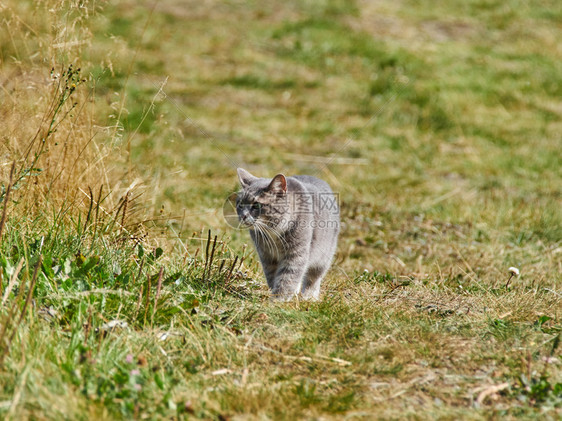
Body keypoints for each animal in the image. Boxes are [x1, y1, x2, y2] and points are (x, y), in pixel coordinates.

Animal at [235, 166, 340, 300]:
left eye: (257, 205)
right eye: (240, 204)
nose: (243, 216)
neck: (273, 231)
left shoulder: (296, 254)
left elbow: (288, 277)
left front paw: (278, 299)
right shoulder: (267, 256)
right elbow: (273, 276)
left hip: (324, 256)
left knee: (313, 277)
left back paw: (309, 297)